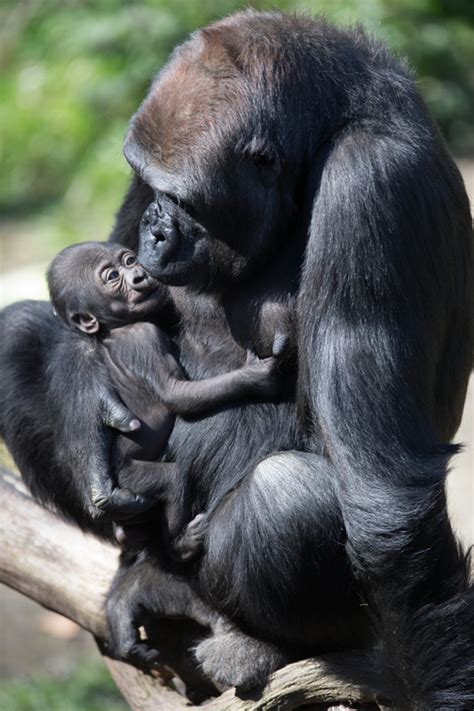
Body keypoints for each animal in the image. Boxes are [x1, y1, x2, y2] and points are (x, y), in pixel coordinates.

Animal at [48, 242, 286, 560]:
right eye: (112, 277)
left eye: (129, 260)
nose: (138, 275)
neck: (112, 328)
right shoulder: (144, 336)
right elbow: (175, 394)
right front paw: (256, 376)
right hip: (129, 480)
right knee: (171, 480)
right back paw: (180, 543)